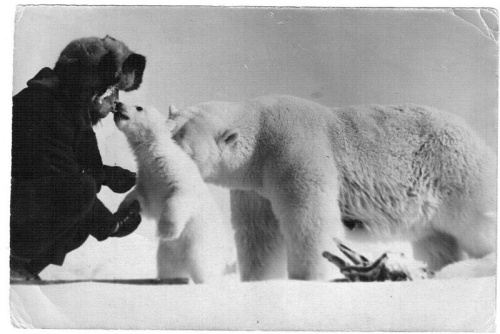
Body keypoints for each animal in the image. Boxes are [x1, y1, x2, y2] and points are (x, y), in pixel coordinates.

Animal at [169, 95, 496, 280]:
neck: (260, 141)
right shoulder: (254, 188)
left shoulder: (295, 152)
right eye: (169, 129)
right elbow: (259, 233)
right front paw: (260, 280)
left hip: (452, 169)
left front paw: (309, 278)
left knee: (478, 222)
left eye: (184, 145)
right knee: (435, 240)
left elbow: (310, 221)